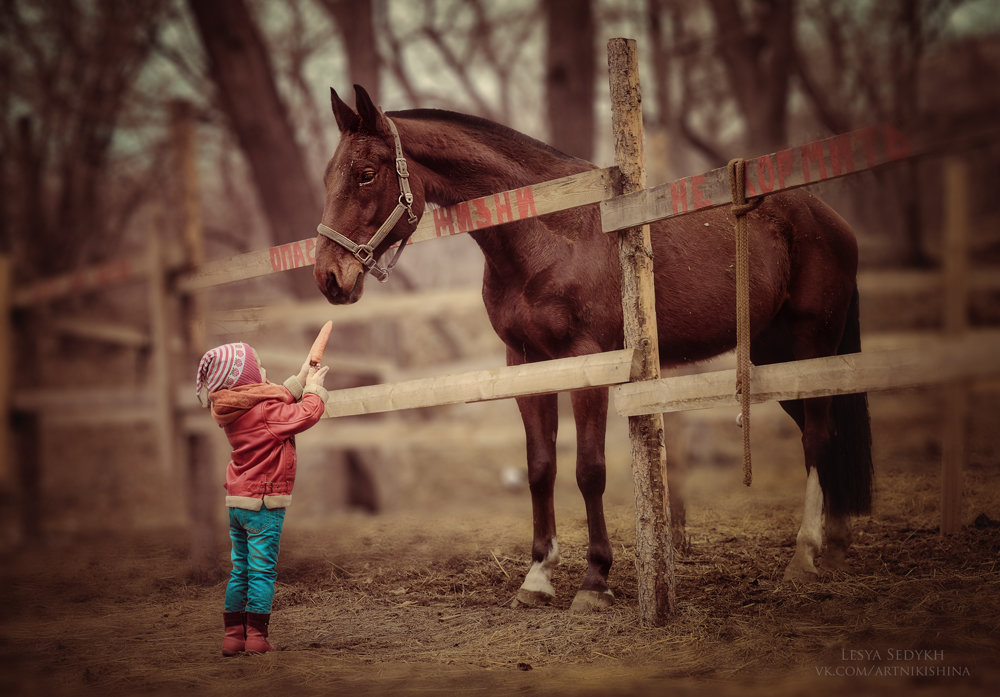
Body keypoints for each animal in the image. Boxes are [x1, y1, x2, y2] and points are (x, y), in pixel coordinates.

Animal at [316, 85, 872, 608]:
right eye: (328, 177)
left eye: (365, 173)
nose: (328, 277)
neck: (551, 235)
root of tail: (829, 218)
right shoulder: (526, 365)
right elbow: (541, 468)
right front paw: (537, 577)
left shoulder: (590, 364)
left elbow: (589, 470)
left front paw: (594, 581)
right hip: (774, 357)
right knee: (829, 434)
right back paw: (835, 549)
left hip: (810, 344)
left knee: (817, 437)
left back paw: (804, 555)